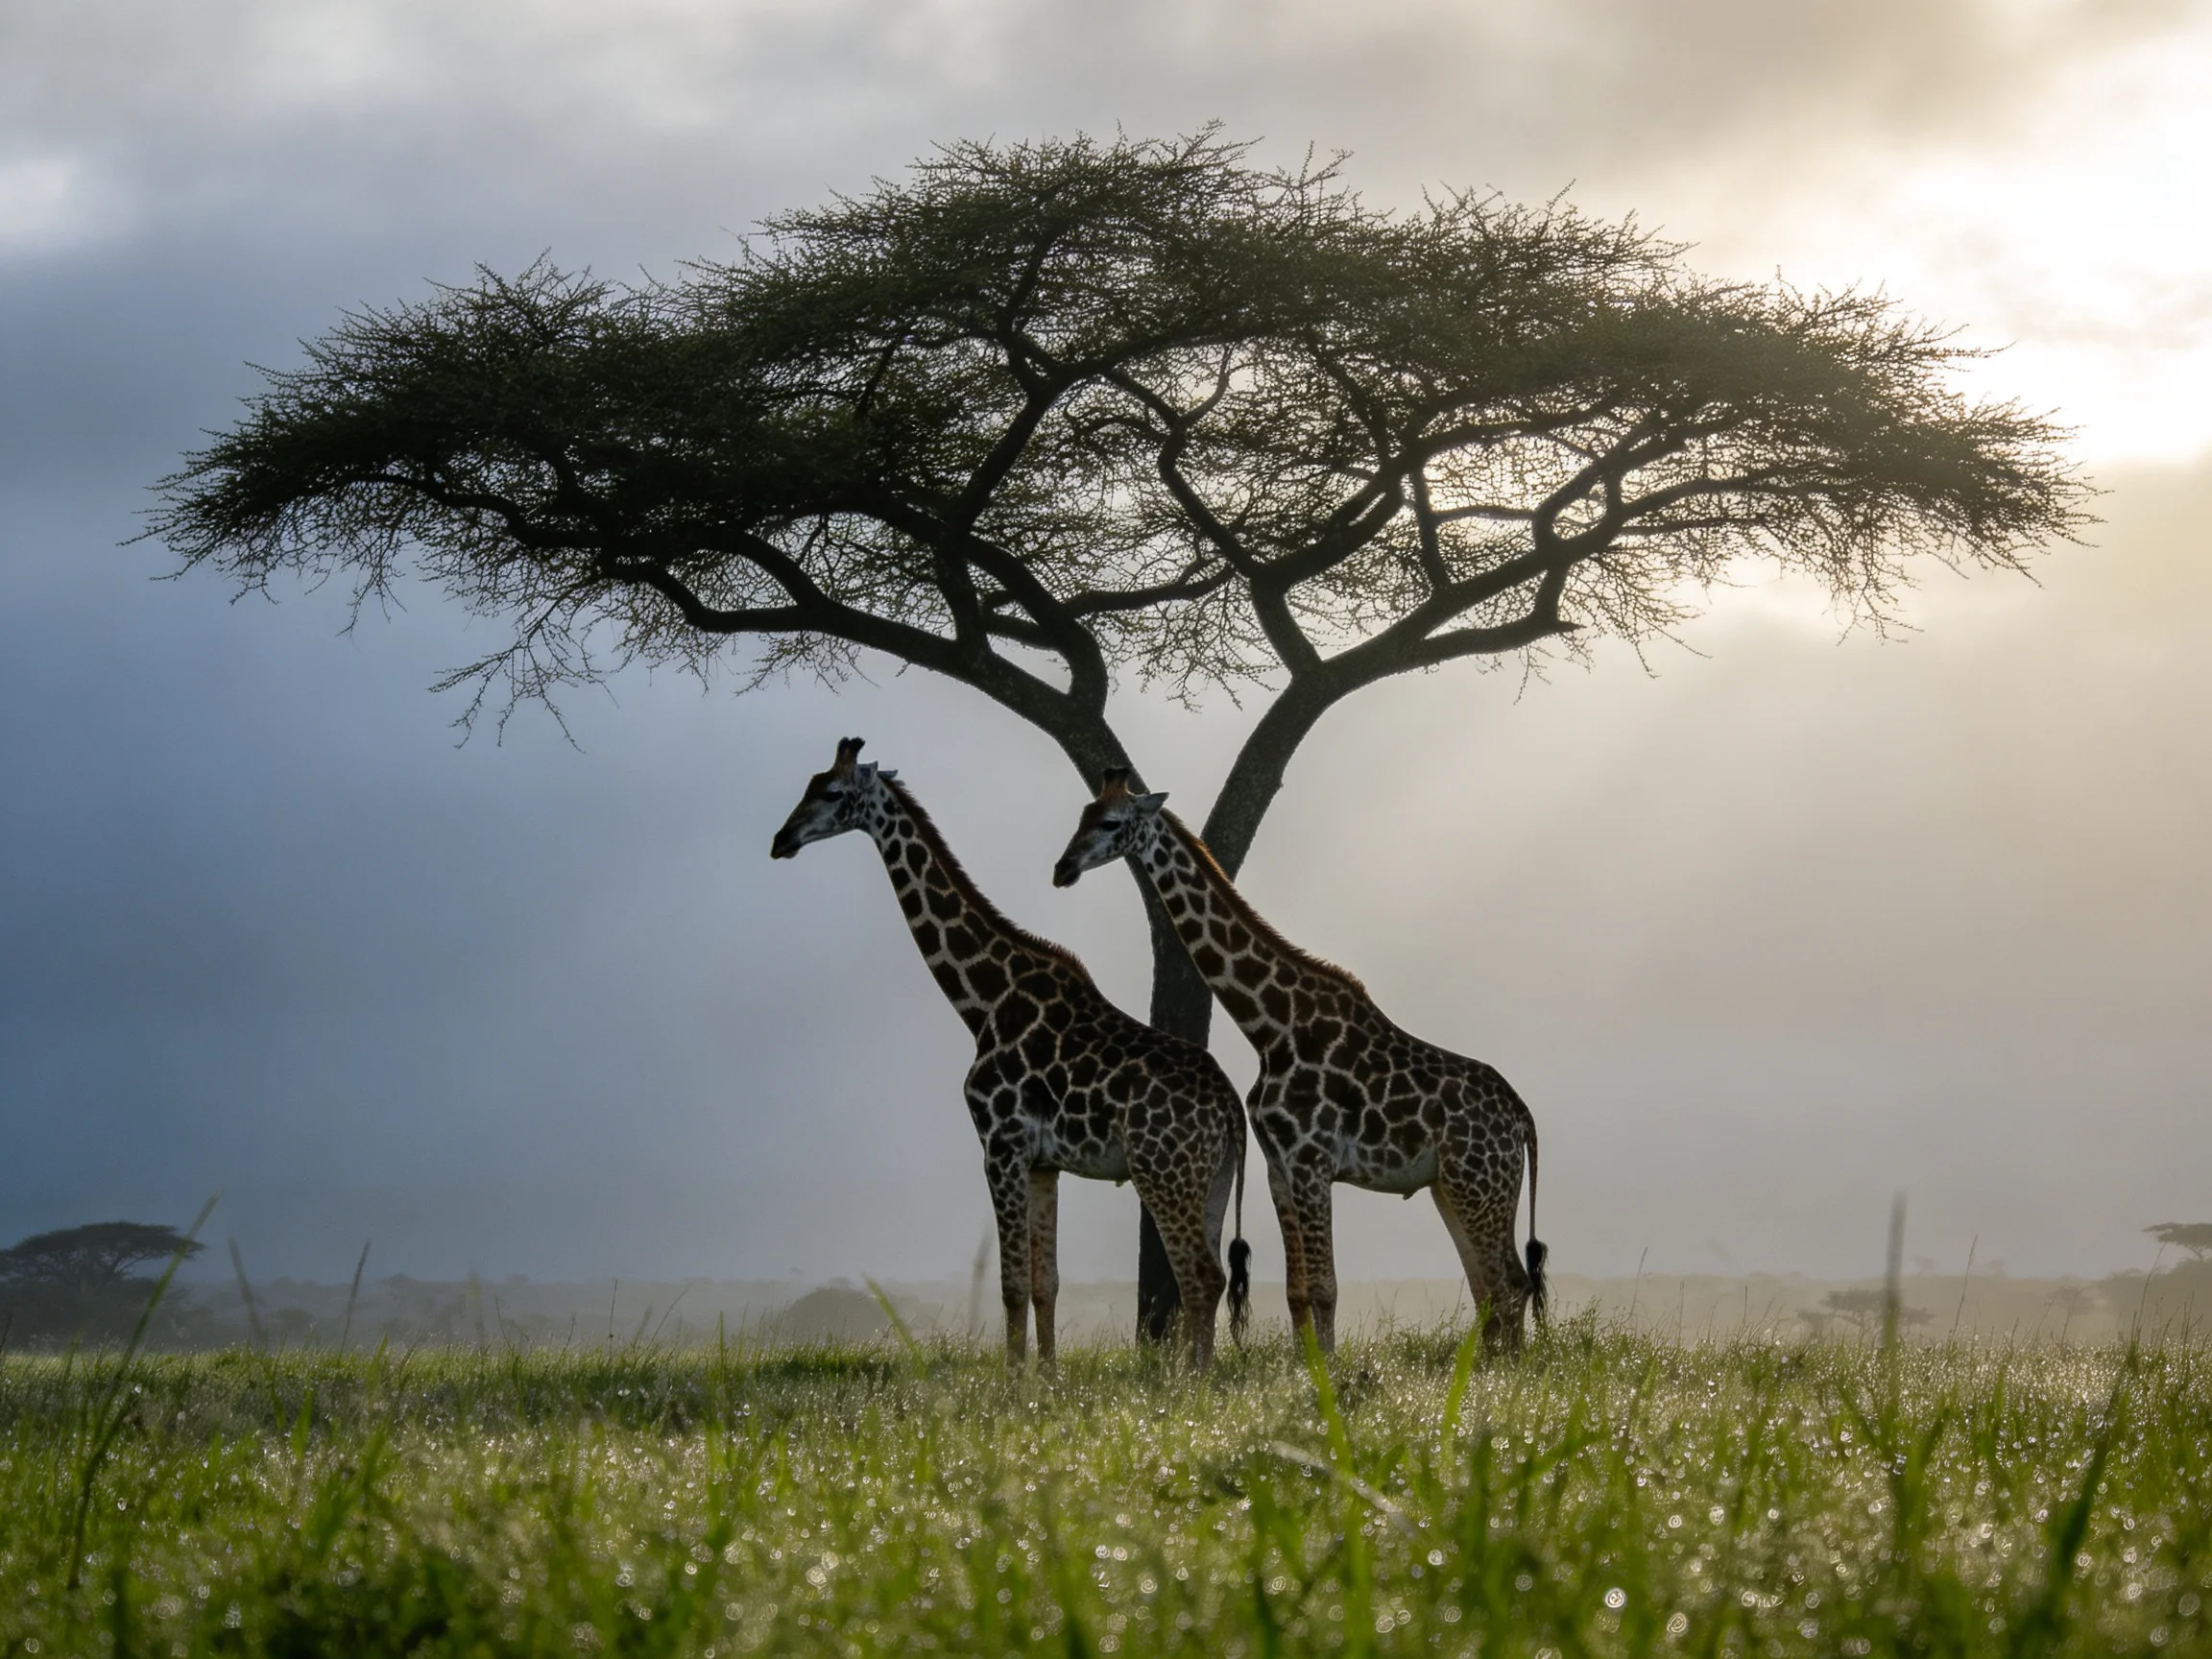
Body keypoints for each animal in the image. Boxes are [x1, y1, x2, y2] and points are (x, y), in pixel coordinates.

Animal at [770, 739, 1251, 1367]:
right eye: (809, 782)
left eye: (830, 792)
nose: (781, 839)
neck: (982, 1001)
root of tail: (1232, 1110)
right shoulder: (1044, 1161)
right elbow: (1046, 1282)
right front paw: (1047, 1377)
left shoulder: (999, 1143)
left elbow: (1012, 1281)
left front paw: (1011, 1380)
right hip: (1212, 1179)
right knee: (1212, 1276)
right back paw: (1199, 1376)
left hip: (1164, 1171)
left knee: (1199, 1275)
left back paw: (1188, 1381)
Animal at [1052, 771, 1547, 1356]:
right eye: (1082, 815)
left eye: (1110, 823)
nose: (1062, 869)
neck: (1271, 1028)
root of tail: (1522, 1118)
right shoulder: (1278, 1167)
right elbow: (1298, 1292)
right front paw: (1306, 1369)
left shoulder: (1313, 1161)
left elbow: (1326, 1287)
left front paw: (1328, 1373)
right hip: (1452, 1186)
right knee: (1489, 1285)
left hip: (1481, 1184)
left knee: (1509, 1283)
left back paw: (1506, 1374)